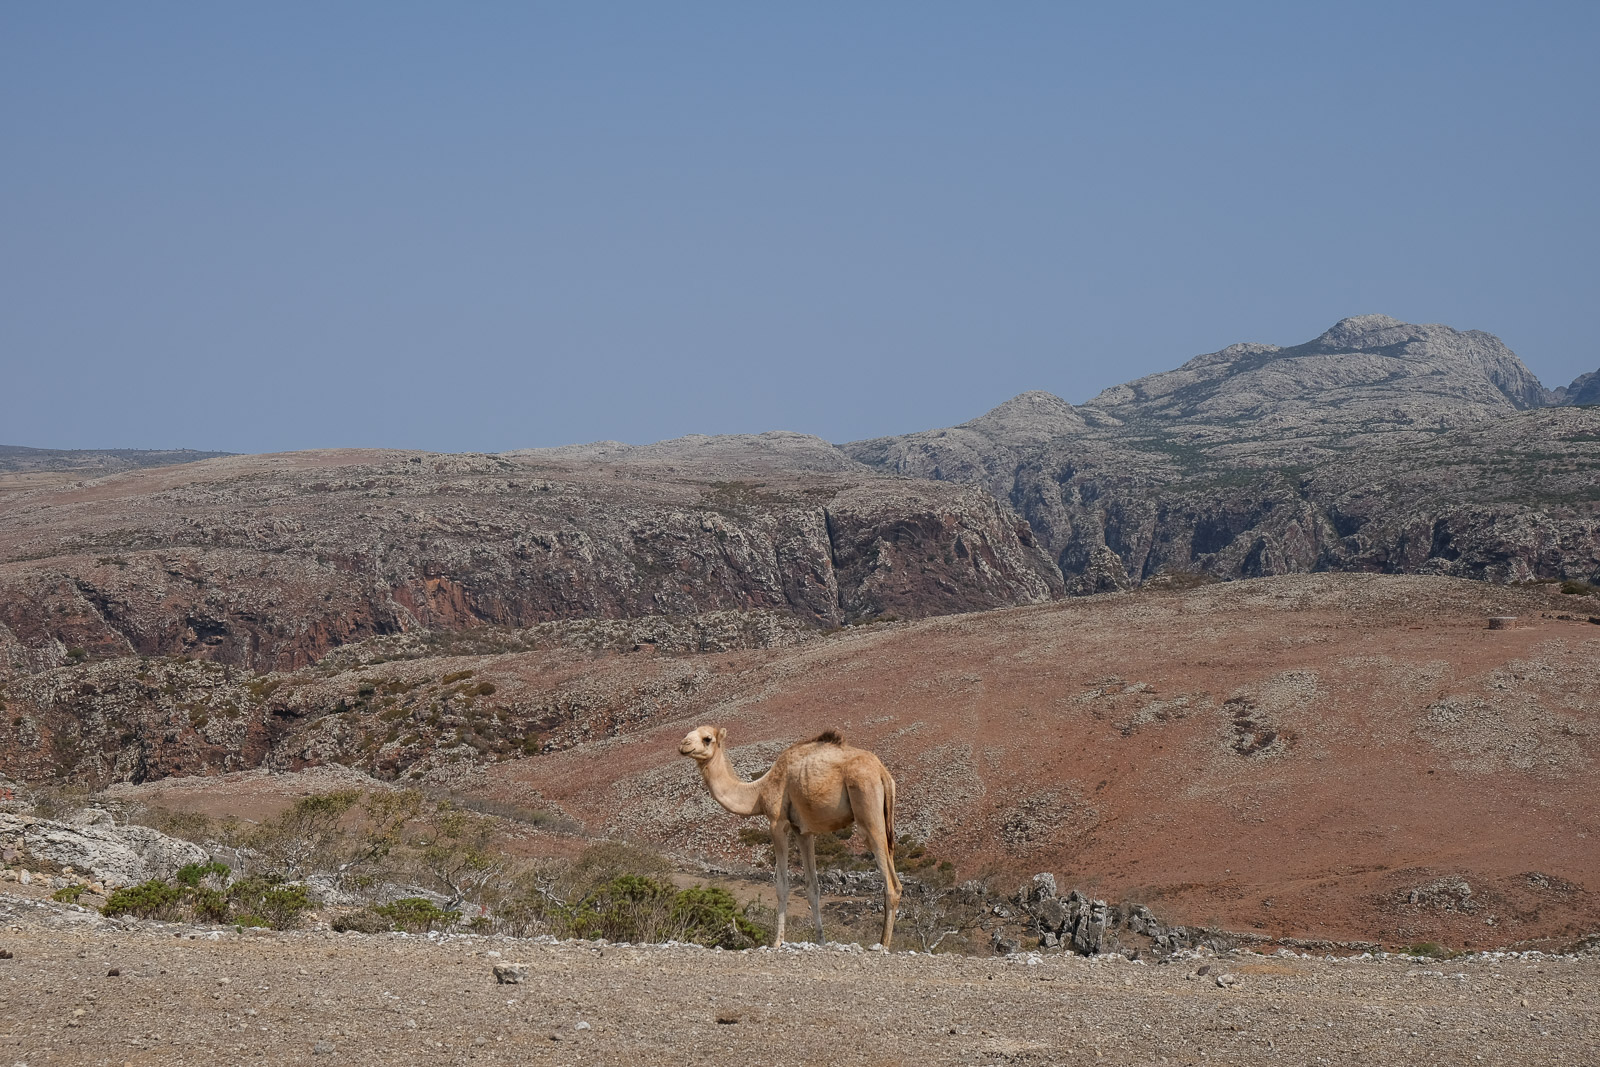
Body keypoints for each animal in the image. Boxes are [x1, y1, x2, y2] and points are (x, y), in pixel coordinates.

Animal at [678, 725, 902, 948]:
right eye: (689, 733)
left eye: (707, 739)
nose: (683, 745)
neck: (759, 792)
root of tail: (883, 773)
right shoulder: (802, 830)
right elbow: (812, 888)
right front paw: (821, 941)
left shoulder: (778, 823)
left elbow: (782, 886)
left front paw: (777, 942)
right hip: (884, 819)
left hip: (868, 810)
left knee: (891, 884)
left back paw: (882, 946)